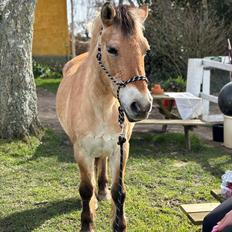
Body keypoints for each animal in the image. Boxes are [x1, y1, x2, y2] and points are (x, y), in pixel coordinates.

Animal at [55, 2, 152, 232]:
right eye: (112, 49)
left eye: (146, 50)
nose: (141, 106)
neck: (101, 106)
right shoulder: (82, 151)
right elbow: (85, 189)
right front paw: (87, 223)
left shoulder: (121, 149)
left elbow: (119, 191)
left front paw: (119, 224)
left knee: (101, 164)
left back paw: (101, 191)